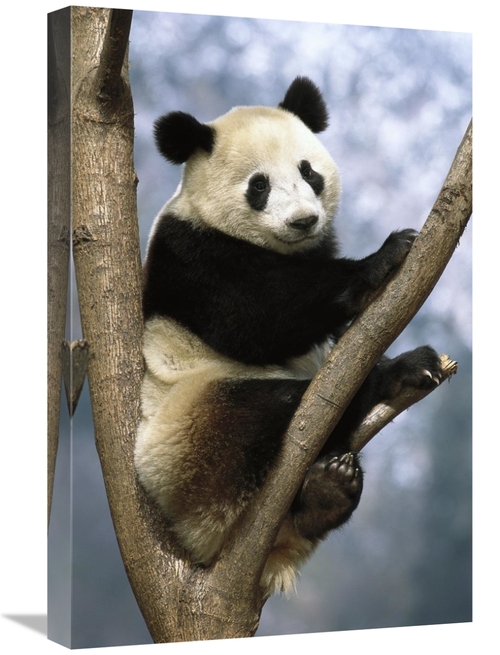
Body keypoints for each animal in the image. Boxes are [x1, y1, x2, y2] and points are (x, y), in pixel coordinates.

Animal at [134, 76, 443, 597]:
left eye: (309, 171)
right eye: (259, 185)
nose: (303, 220)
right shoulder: (192, 255)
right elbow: (257, 319)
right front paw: (385, 255)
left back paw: (328, 492)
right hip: (190, 436)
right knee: (274, 407)